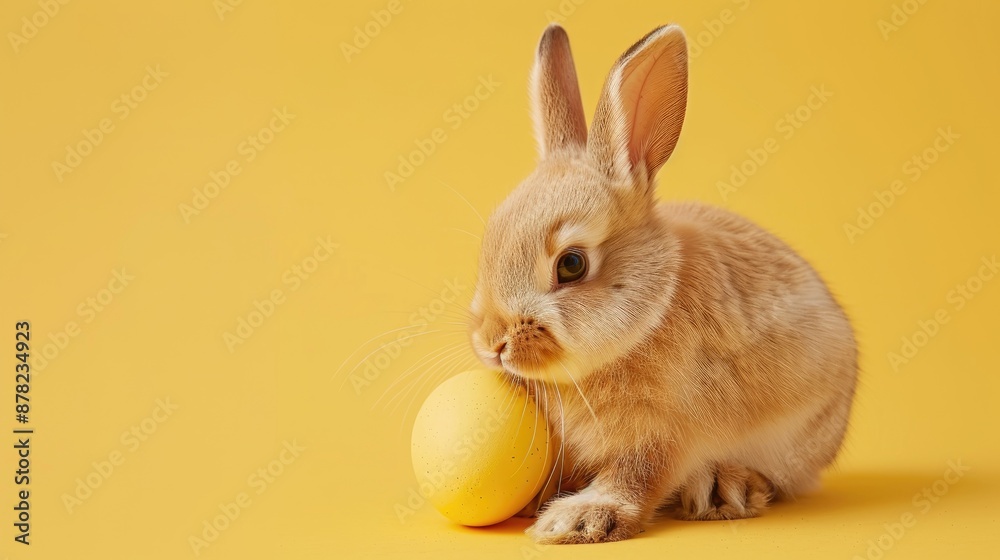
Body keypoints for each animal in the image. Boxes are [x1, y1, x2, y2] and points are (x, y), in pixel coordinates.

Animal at [466, 23, 858, 544]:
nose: (492, 343)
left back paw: (724, 490)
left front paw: (578, 519)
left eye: (571, 265)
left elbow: (638, 473)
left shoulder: (664, 431)